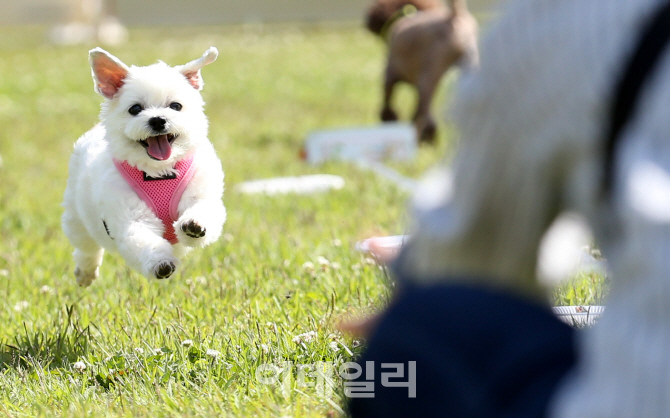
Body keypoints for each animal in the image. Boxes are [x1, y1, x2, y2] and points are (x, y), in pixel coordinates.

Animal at [64, 47, 230, 286]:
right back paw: (85, 272)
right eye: (135, 109)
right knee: (86, 246)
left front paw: (194, 224)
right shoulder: (131, 215)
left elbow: (203, 208)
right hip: (77, 217)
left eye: (176, 106)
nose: (158, 120)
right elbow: (143, 238)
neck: (159, 171)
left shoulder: (201, 189)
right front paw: (160, 262)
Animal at [368, 0, 478, 143]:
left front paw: (389, 119)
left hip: (431, 69)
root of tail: (454, 16)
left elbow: (388, 98)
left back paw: (424, 136)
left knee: (425, 111)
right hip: (471, 63)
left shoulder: (391, 71)